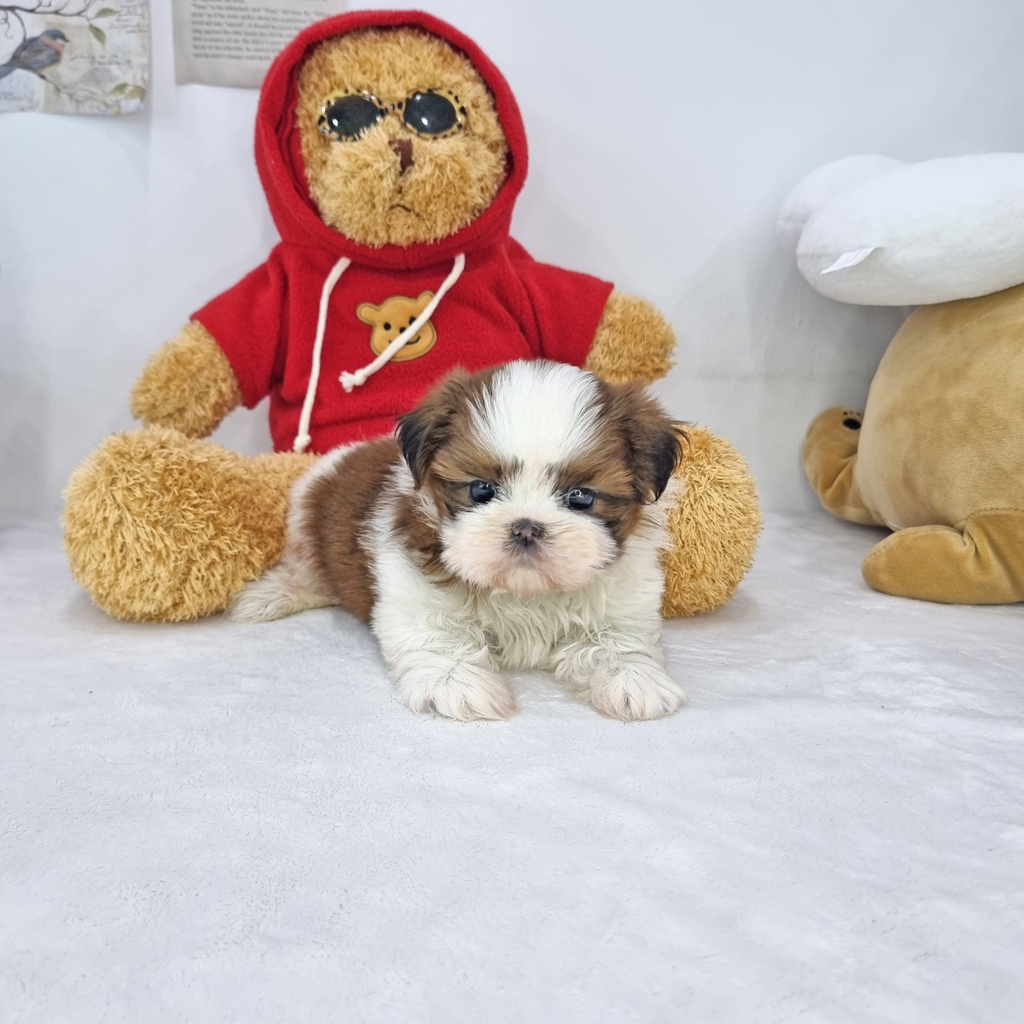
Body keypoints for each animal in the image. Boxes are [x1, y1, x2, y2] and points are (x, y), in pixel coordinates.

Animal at [230, 360, 688, 721]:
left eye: (581, 497)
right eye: (481, 489)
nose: (526, 527)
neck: (523, 593)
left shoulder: (623, 599)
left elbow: (617, 640)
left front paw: (633, 679)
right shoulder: (413, 592)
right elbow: (438, 637)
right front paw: (458, 684)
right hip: (305, 515)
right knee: (307, 572)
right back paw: (269, 596)